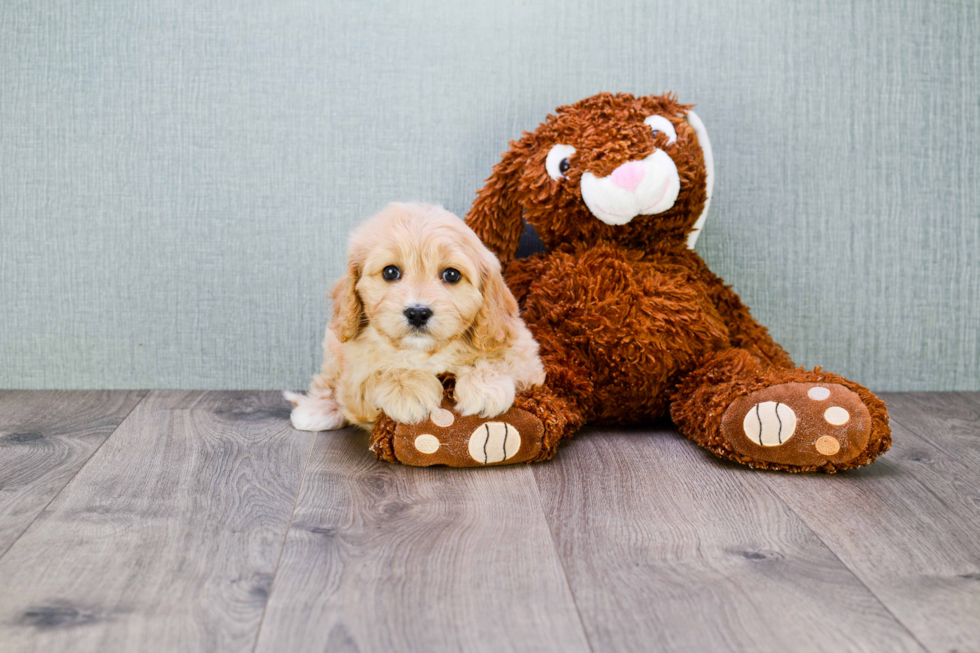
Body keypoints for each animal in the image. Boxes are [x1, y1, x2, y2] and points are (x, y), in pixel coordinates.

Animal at [286, 201, 544, 430]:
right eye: (390, 272)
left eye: (451, 274)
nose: (418, 313)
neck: (426, 352)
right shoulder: (353, 374)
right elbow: (376, 372)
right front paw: (408, 388)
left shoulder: (527, 356)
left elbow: (502, 358)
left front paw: (484, 386)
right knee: (325, 381)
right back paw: (316, 411)